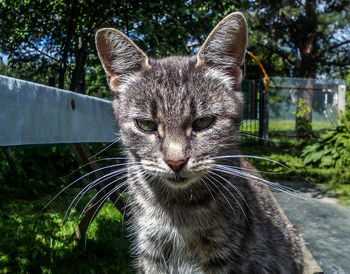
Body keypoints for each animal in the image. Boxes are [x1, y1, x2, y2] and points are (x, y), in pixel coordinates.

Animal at [95, 11, 304, 274]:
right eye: (146, 125)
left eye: (203, 122)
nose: (175, 162)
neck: (178, 209)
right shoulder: (149, 250)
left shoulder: (226, 256)